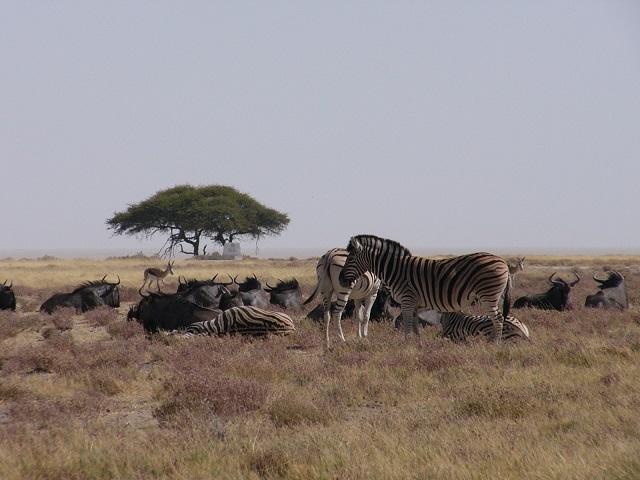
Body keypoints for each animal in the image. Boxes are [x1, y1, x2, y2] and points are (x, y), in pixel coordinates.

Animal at [338, 234, 512, 344]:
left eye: (350, 258)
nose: (340, 279)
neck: (396, 270)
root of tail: (503, 262)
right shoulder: (414, 303)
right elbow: (415, 327)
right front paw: (418, 346)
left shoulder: (407, 299)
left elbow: (407, 325)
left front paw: (406, 345)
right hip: (492, 295)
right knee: (498, 318)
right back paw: (491, 341)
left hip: (488, 294)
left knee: (498, 318)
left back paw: (493, 344)